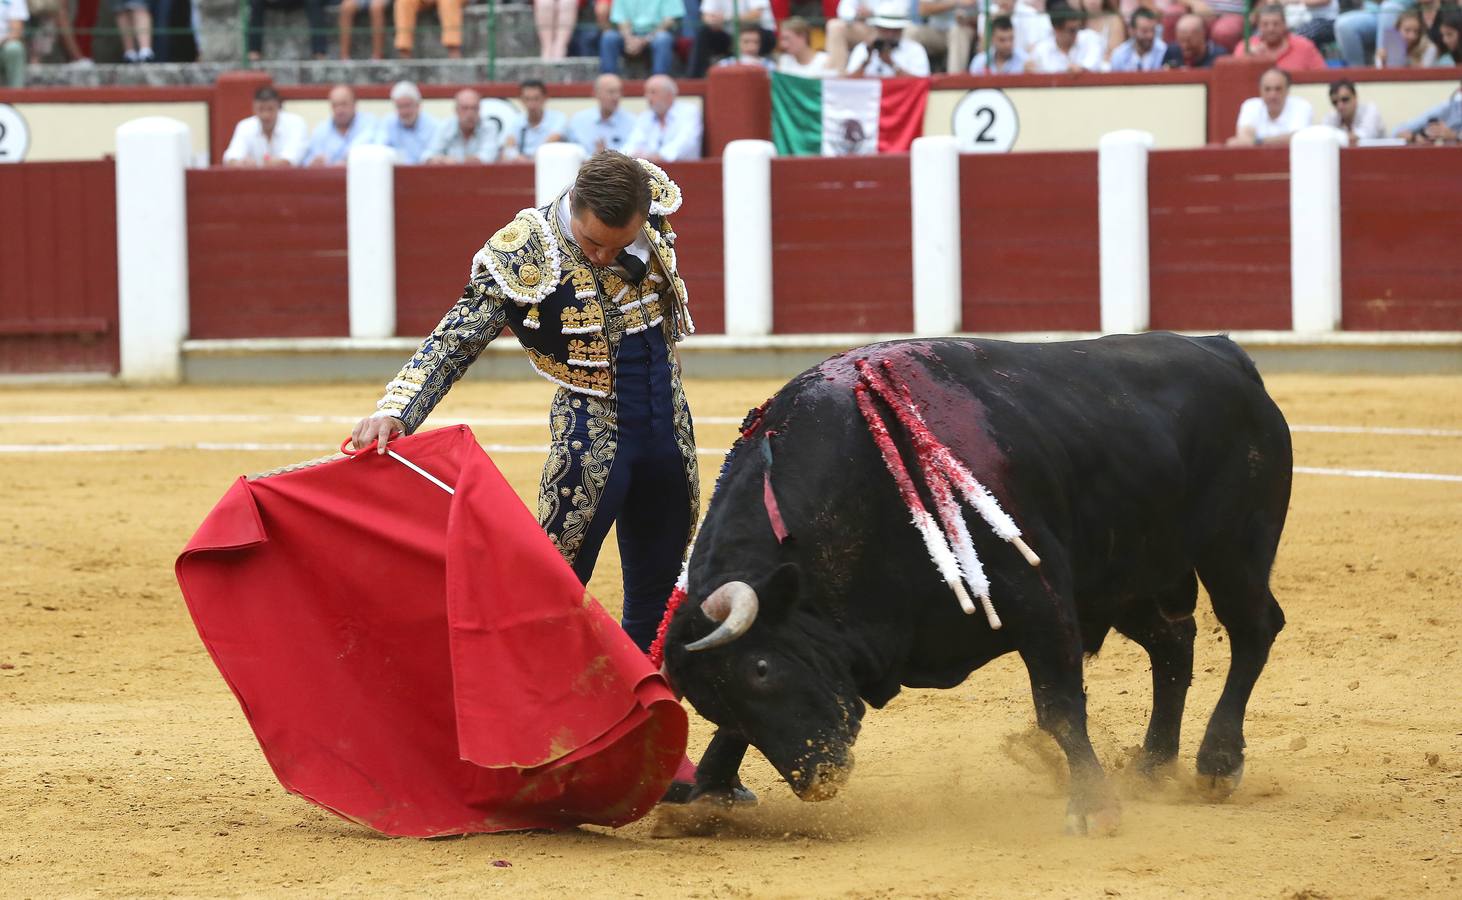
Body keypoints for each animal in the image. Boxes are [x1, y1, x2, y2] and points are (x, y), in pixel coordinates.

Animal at [663, 334, 1292, 835]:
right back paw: (1153, 765)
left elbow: (1059, 706)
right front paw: (705, 796)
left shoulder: (1036, 591)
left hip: (1234, 551)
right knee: (1173, 644)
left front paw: (1092, 807)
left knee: (1253, 630)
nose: (818, 778)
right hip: (1129, 576)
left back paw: (1217, 763)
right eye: (710, 702)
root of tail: (1224, 352)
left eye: (761, 670)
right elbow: (733, 736)